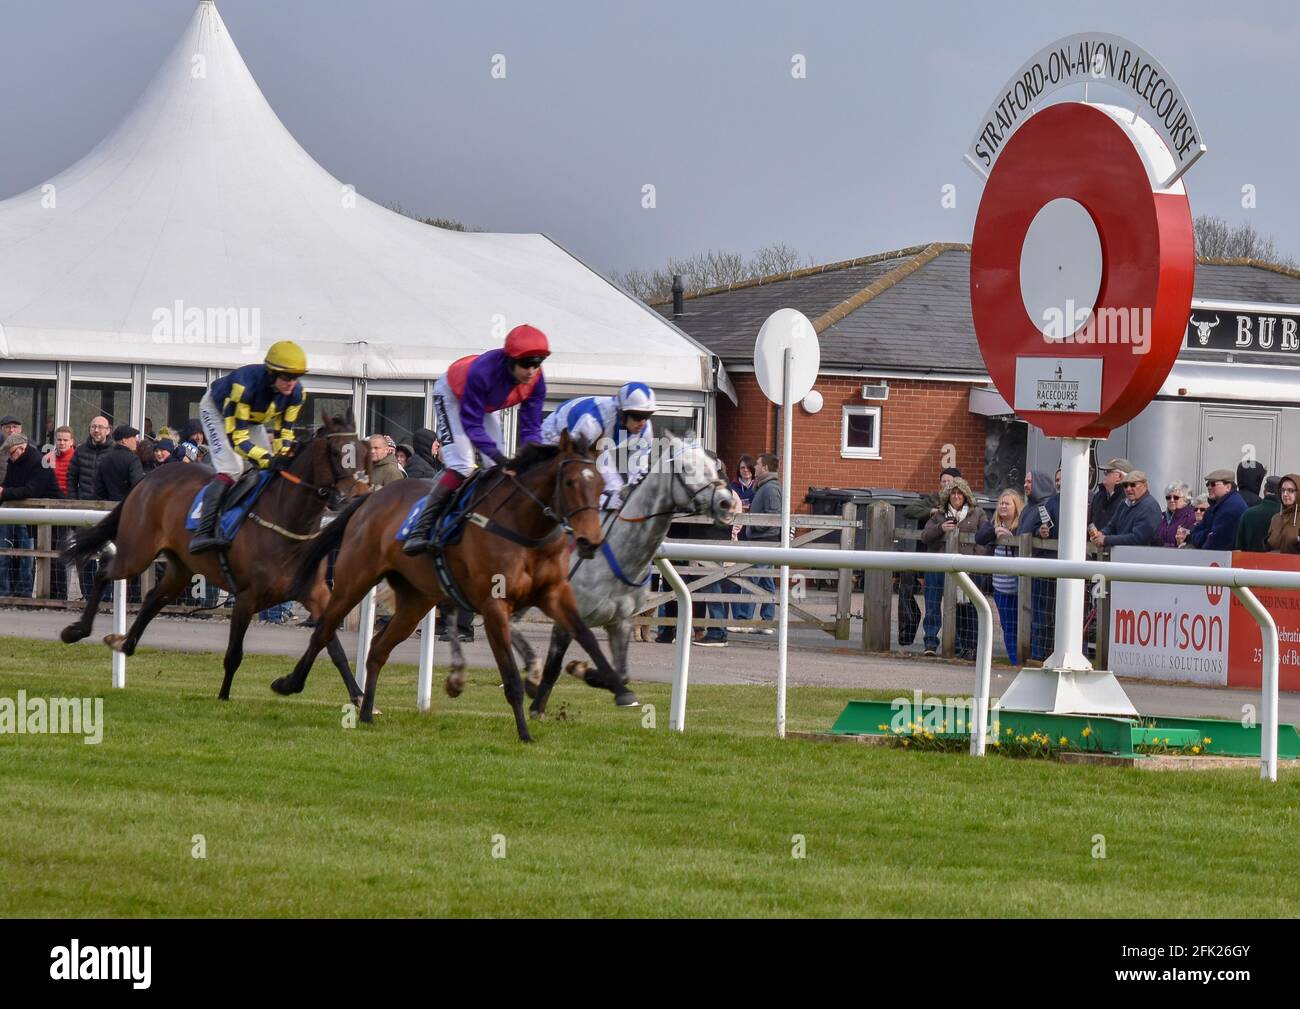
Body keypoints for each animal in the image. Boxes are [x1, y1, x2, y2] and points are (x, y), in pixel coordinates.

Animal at [63, 410, 374, 702]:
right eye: (338, 453)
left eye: (364, 451)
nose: (361, 495)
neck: (287, 520)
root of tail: (147, 479)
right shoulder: (247, 597)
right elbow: (234, 654)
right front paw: (223, 697)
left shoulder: (315, 592)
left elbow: (332, 645)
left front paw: (358, 696)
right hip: (137, 553)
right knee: (104, 572)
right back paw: (76, 631)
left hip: (180, 567)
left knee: (152, 599)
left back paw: (124, 643)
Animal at [276, 434, 637, 738]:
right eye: (571, 482)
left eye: (600, 484)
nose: (590, 541)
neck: (525, 527)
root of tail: (370, 499)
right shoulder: (494, 605)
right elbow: (510, 676)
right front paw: (524, 734)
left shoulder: (555, 594)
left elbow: (586, 635)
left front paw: (618, 687)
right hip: (355, 578)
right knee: (324, 630)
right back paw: (290, 683)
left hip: (415, 599)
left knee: (378, 648)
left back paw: (366, 713)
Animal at [447, 436, 738, 712]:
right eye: (687, 468)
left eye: (717, 466)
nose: (728, 503)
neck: (619, 555)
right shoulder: (566, 618)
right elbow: (554, 668)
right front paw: (540, 705)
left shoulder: (620, 622)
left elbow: (622, 673)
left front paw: (587, 673)